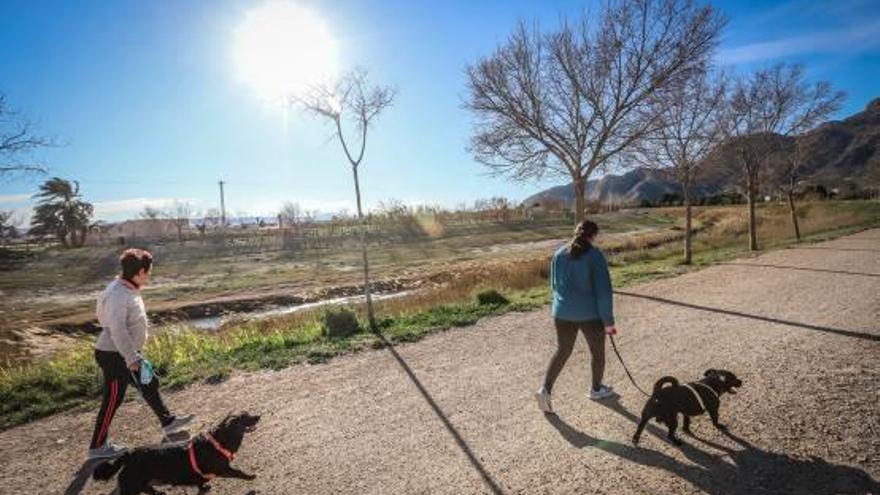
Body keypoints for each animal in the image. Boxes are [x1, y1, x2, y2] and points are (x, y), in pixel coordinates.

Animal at [96, 412, 262, 495]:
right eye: (244, 417)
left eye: (247, 413)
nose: (258, 416)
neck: (218, 441)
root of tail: (130, 453)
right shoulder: (222, 469)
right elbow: (238, 472)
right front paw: (250, 476)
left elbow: (201, 483)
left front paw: (204, 488)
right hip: (131, 486)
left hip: (142, 483)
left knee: (149, 489)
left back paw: (159, 494)